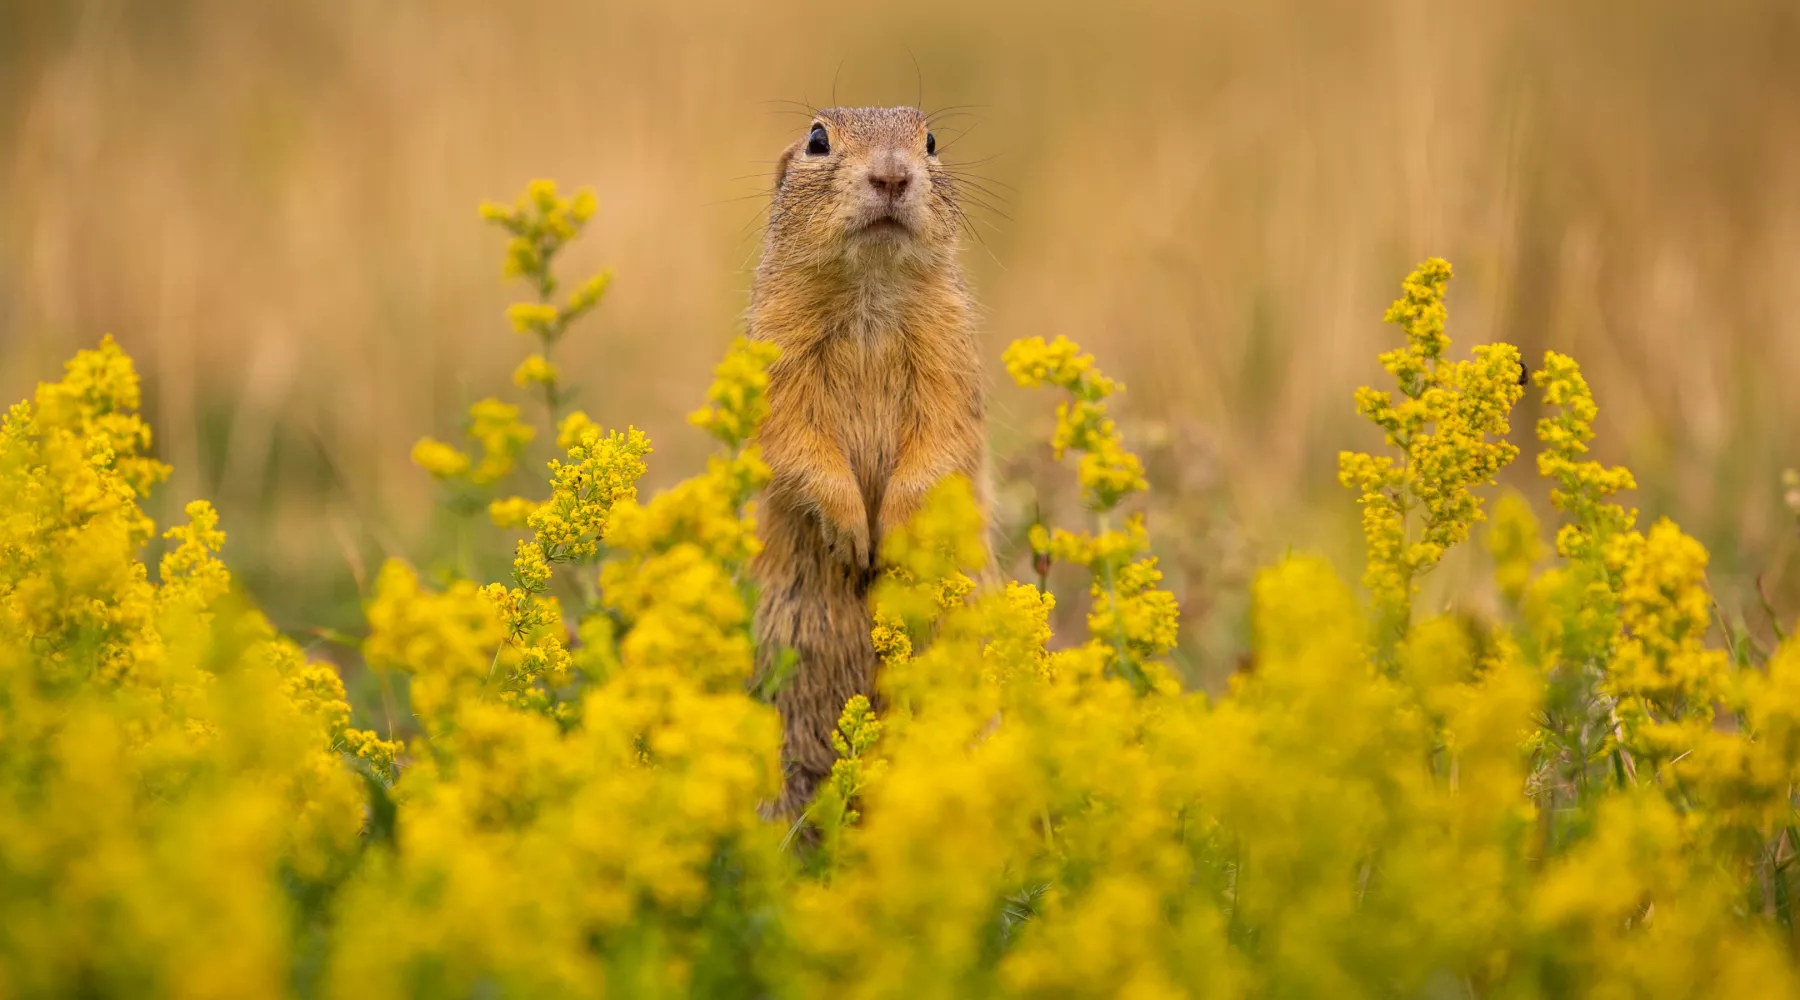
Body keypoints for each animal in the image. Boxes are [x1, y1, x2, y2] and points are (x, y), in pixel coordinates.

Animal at [752, 105, 993, 816]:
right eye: (817, 140)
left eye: (931, 140)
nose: (891, 174)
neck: (870, 290)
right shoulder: (776, 360)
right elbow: (794, 439)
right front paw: (853, 534)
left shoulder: (952, 356)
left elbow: (942, 439)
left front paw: (894, 533)